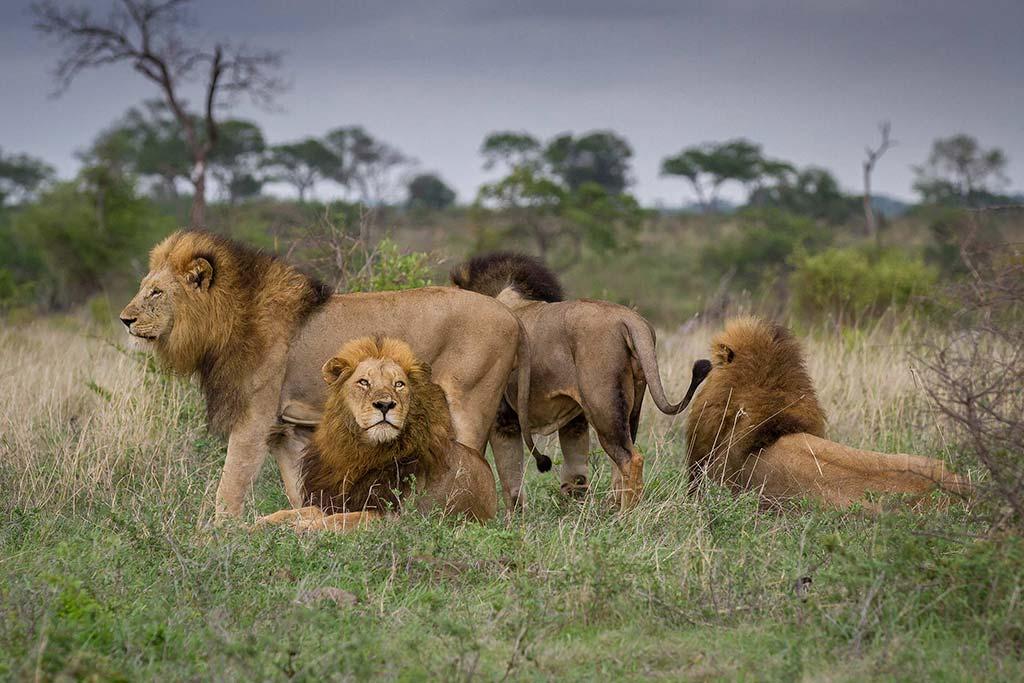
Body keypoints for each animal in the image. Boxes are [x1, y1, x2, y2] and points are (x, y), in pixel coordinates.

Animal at [258, 337, 496, 531]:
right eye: (364, 382)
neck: (362, 453)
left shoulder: (391, 515)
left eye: (399, 384)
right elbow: (294, 512)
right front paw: (259, 524)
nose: (385, 405)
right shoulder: (334, 498)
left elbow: (342, 519)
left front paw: (304, 527)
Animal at [451, 252, 710, 509]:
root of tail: (630, 319)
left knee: (631, 459)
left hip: (602, 407)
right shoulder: (573, 422)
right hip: (631, 407)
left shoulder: (502, 420)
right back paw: (613, 507)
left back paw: (626, 515)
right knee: (620, 462)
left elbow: (508, 480)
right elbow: (575, 475)